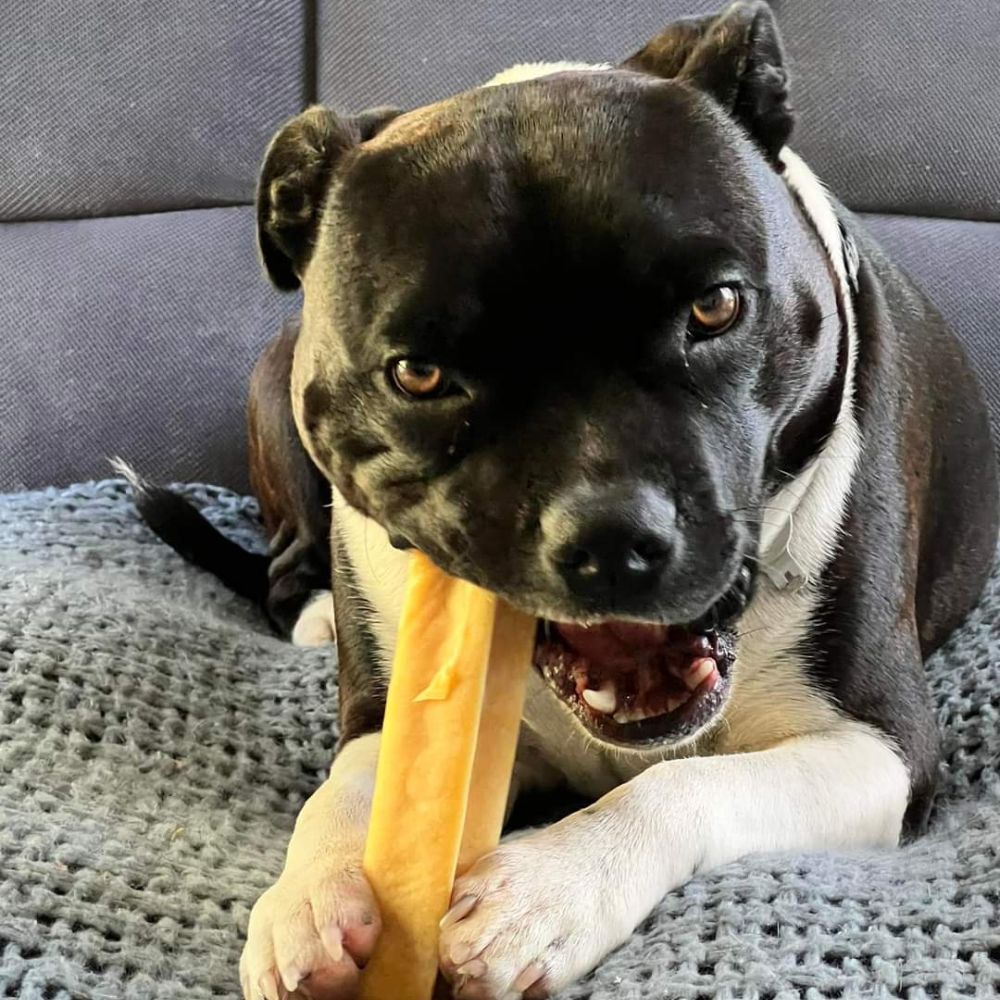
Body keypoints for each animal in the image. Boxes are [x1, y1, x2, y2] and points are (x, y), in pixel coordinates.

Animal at [135, 3, 1000, 996]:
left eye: (716, 307)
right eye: (417, 374)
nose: (613, 537)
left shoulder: (881, 749)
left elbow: (683, 786)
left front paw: (552, 888)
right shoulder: (388, 720)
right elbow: (347, 795)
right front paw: (308, 902)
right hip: (272, 386)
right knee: (284, 562)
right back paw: (313, 613)